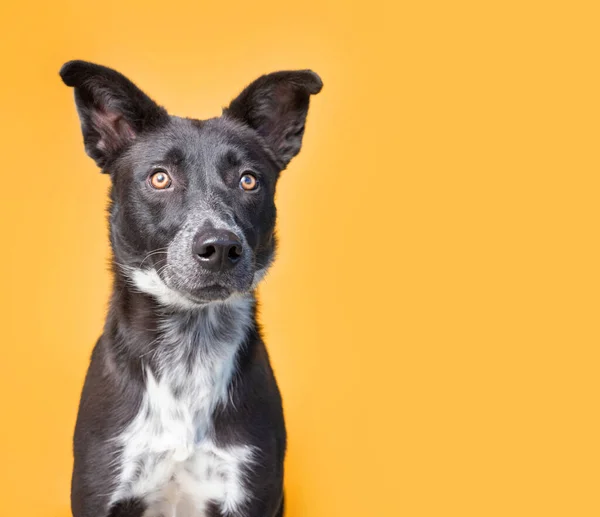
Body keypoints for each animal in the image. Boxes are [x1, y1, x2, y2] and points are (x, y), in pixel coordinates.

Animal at [60, 61, 322, 516]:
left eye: (248, 181)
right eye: (160, 178)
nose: (220, 248)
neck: (189, 345)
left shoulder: (249, 484)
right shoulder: (101, 485)